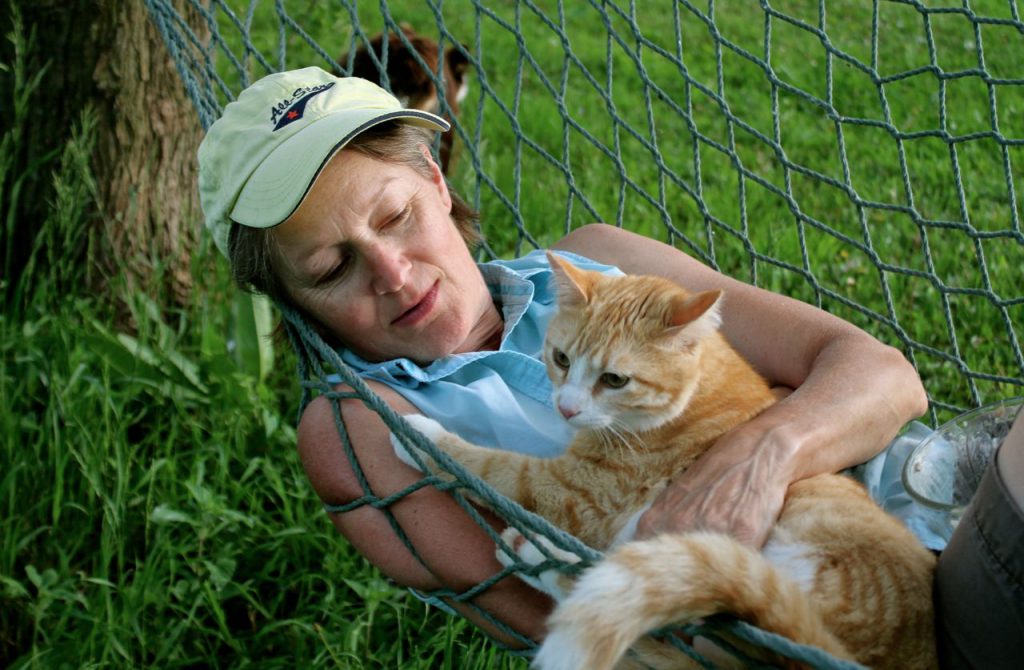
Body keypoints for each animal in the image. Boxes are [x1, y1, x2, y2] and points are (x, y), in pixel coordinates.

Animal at [391, 253, 937, 670]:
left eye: (614, 379)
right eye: (561, 359)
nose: (565, 407)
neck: (694, 395)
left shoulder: (573, 494)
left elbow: (492, 467)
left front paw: (420, 437)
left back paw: (534, 553)